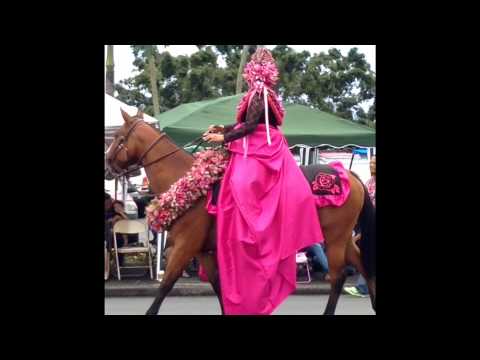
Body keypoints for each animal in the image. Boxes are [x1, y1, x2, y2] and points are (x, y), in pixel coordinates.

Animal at [105, 108, 376, 314]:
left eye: (118, 137)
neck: (188, 182)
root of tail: (348, 175)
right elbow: (218, 288)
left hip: (334, 238)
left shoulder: (185, 246)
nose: (107, 167)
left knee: (338, 277)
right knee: (363, 265)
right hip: (344, 238)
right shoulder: (203, 251)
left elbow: (165, 286)